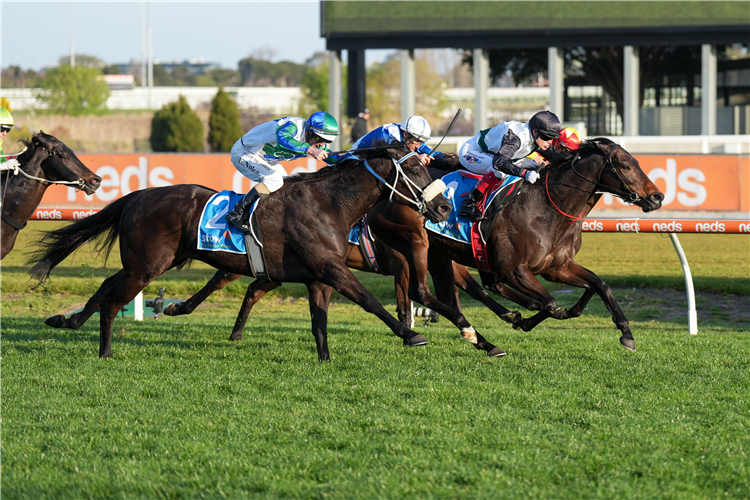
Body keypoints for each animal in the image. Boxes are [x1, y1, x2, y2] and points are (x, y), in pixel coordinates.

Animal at [27, 146, 452, 362]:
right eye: (416, 170)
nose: (445, 207)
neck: (329, 203)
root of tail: (139, 195)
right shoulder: (331, 268)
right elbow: (369, 301)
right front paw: (411, 335)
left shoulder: (318, 277)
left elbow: (319, 322)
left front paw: (325, 360)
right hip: (146, 267)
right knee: (114, 301)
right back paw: (105, 351)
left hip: (144, 263)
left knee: (105, 286)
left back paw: (68, 321)